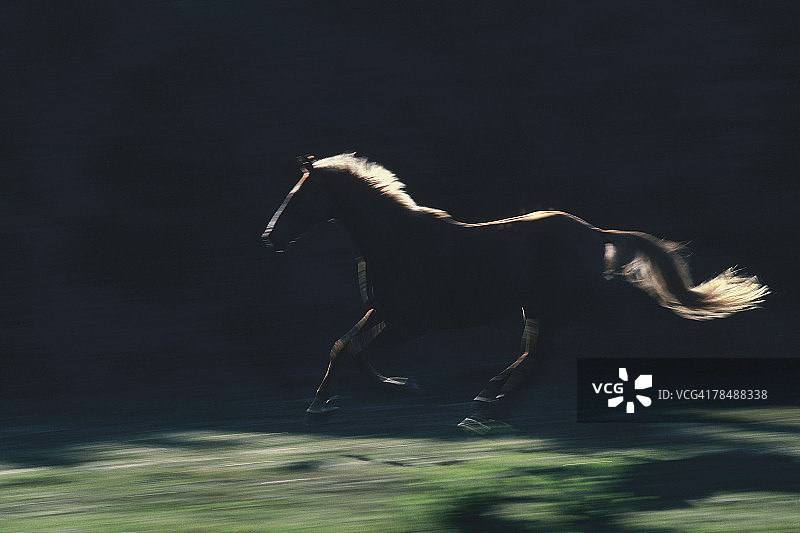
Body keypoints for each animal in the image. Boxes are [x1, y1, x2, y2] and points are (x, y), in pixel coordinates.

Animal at [261, 153, 769, 434]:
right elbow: (345, 346)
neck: (397, 240)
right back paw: (486, 403)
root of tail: (597, 233)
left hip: (546, 308)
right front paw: (344, 398)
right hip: (536, 308)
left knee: (538, 359)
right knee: (532, 357)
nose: (269, 238)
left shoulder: (410, 322)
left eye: (300, 196)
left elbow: (350, 347)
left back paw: (484, 411)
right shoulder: (383, 311)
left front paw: (334, 402)